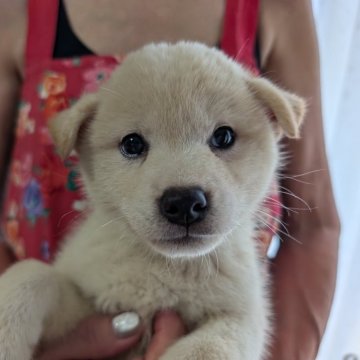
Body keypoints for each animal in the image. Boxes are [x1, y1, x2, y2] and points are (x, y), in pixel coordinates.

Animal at [0, 43, 306, 360]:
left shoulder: (242, 317)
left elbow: (207, 349)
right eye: (132, 144)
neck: (163, 269)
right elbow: (33, 274)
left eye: (224, 136)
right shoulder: (90, 306)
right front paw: (6, 336)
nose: (184, 203)